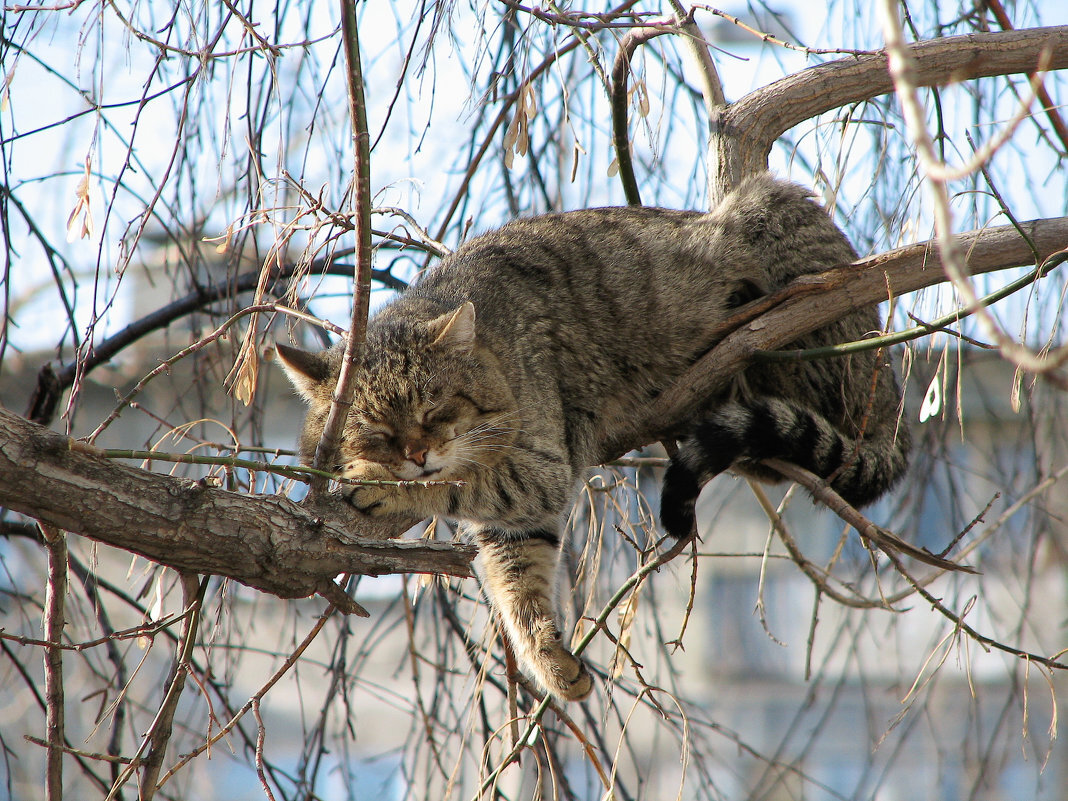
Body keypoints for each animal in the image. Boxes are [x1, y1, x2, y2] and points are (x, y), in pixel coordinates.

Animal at [275, 175, 909, 700]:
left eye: (435, 412)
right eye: (376, 433)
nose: (415, 453)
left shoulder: (540, 467)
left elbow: (456, 481)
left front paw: (386, 485)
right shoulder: (517, 521)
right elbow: (520, 591)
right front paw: (551, 661)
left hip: (778, 235)